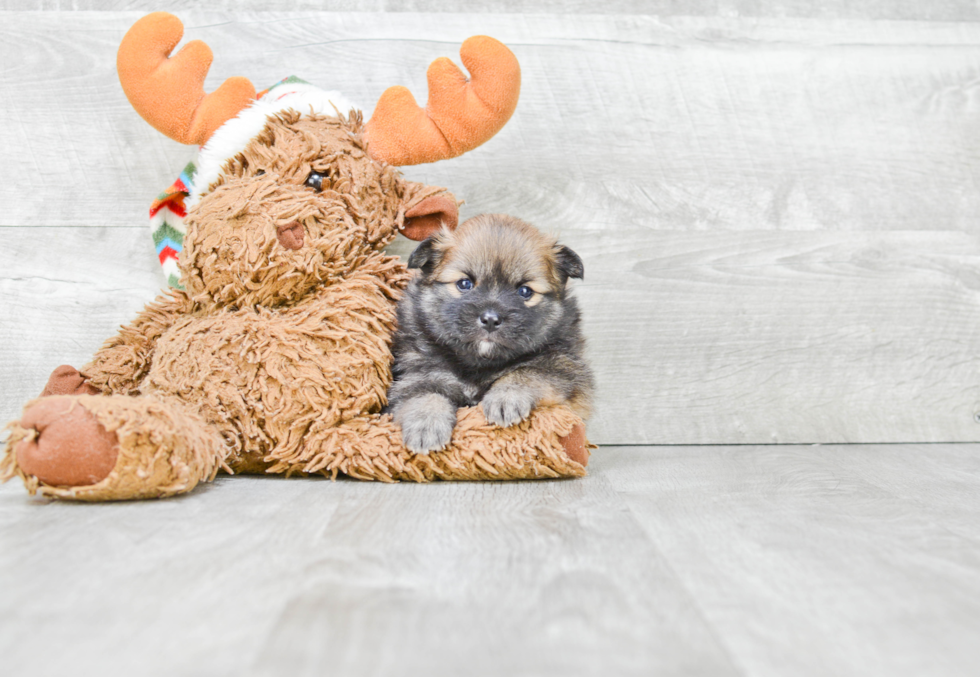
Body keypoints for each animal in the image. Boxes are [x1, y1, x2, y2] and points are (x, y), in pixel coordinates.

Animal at [388, 214, 588, 452]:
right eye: (464, 283)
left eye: (525, 291)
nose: (491, 320)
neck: (479, 364)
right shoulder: (417, 372)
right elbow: (423, 393)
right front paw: (426, 423)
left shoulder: (564, 368)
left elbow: (528, 372)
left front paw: (506, 398)